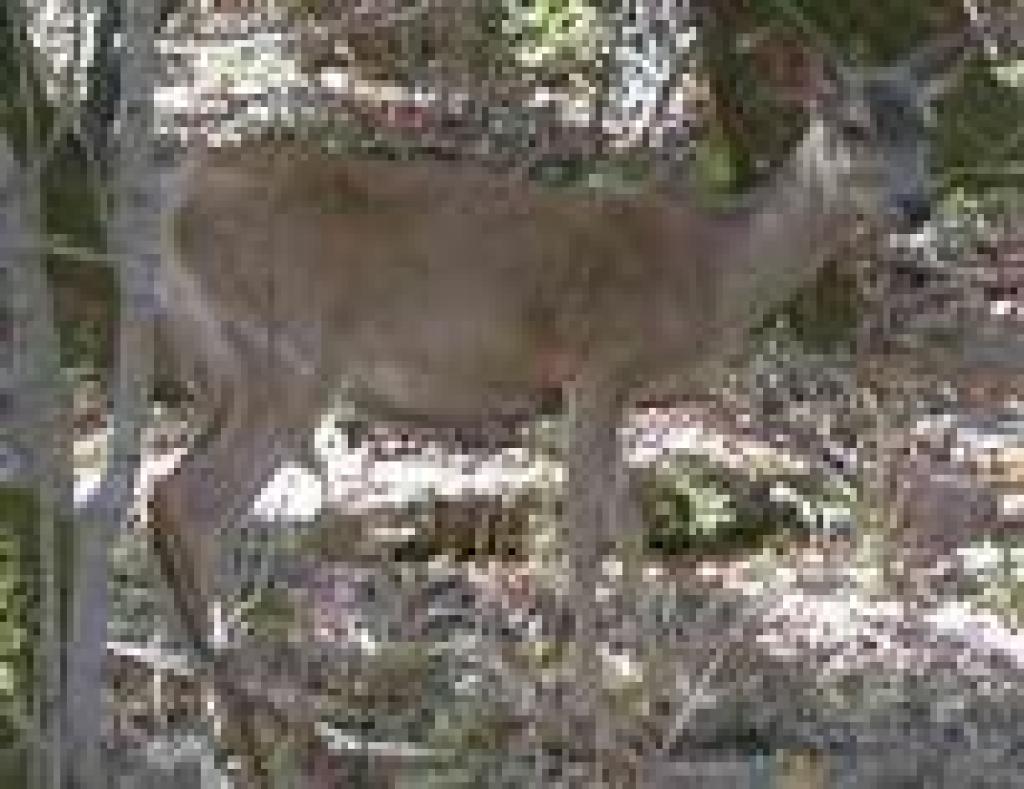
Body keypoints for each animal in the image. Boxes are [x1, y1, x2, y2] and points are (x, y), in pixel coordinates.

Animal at [148, 26, 972, 786]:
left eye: (929, 124)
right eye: (853, 126)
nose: (918, 204)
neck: (708, 275)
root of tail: (178, 196)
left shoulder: (617, 390)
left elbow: (631, 527)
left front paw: (663, 695)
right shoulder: (597, 361)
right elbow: (583, 535)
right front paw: (595, 721)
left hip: (227, 373)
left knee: (162, 494)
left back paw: (222, 710)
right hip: (288, 354)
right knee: (198, 505)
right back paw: (255, 723)